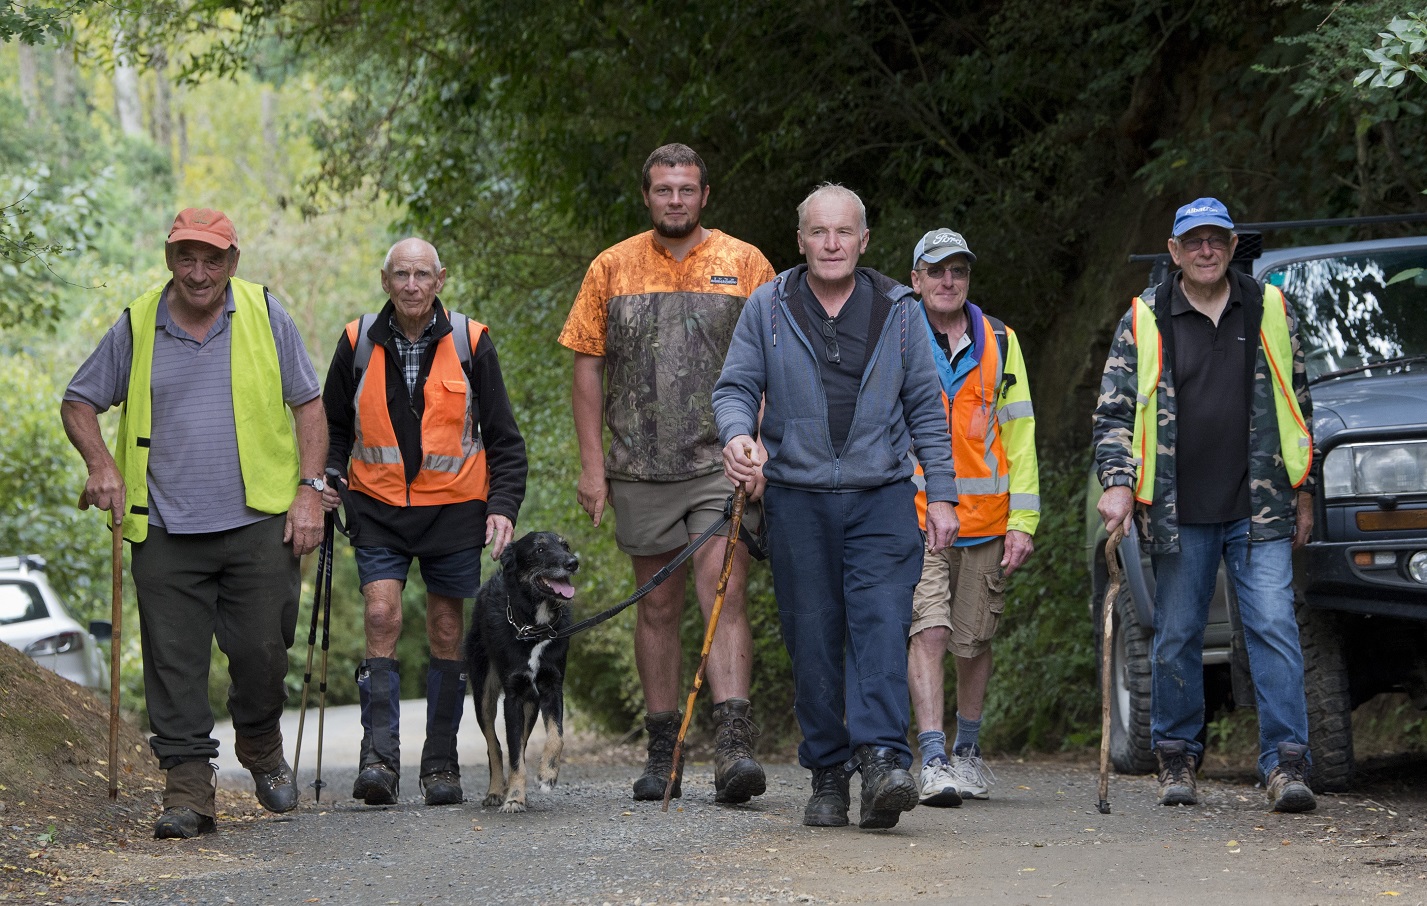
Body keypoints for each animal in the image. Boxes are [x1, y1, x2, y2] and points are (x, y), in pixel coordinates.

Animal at [468, 530, 579, 816]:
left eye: (565, 545)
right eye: (539, 550)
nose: (573, 562)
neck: (533, 628)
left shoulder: (552, 687)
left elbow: (556, 736)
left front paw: (547, 775)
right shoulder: (513, 696)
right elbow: (514, 754)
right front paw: (514, 798)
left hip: (531, 704)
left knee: (523, 741)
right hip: (484, 694)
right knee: (494, 745)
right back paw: (497, 790)